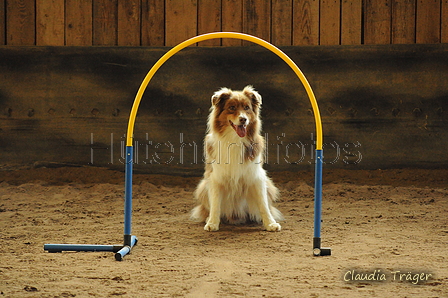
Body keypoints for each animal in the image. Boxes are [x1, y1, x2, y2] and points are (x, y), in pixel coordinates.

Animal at [190, 85, 282, 232]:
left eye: (247, 107)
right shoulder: (215, 177)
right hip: (203, 187)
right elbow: (215, 203)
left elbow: (263, 204)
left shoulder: (257, 176)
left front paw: (270, 223)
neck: (234, 140)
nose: (243, 119)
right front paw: (212, 223)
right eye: (232, 107)